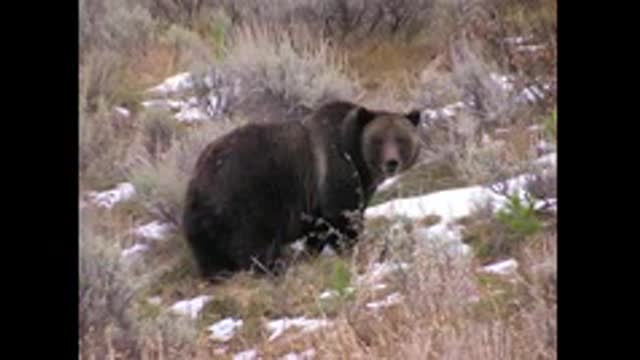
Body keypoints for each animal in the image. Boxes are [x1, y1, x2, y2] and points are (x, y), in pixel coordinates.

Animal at [181, 101, 420, 278]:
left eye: (401, 139)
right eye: (378, 140)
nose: (391, 162)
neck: (356, 157)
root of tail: (201, 174)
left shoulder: (318, 204)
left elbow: (319, 232)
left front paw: (310, 255)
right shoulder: (335, 173)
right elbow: (343, 221)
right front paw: (353, 251)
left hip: (203, 218)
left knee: (210, 254)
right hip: (248, 197)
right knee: (255, 245)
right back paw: (272, 270)